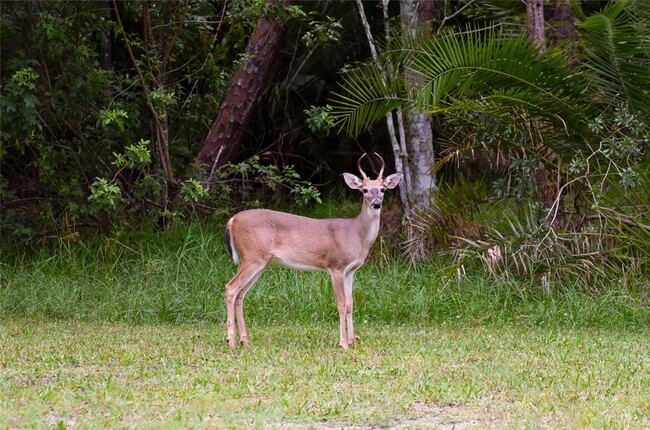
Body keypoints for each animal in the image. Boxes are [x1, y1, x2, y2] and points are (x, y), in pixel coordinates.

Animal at [223, 153, 400, 348]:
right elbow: (341, 304)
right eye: (365, 190)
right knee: (231, 287)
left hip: (262, 262)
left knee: (241, 294)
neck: (355, 234)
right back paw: (231, 341)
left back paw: (245, 341)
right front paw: (343, 343)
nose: (376, 204)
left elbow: (351, 304)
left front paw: (353, 340)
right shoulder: (336, 266)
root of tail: (232, 220)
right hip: (252, 257)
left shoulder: (351, 270)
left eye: (383, 189)